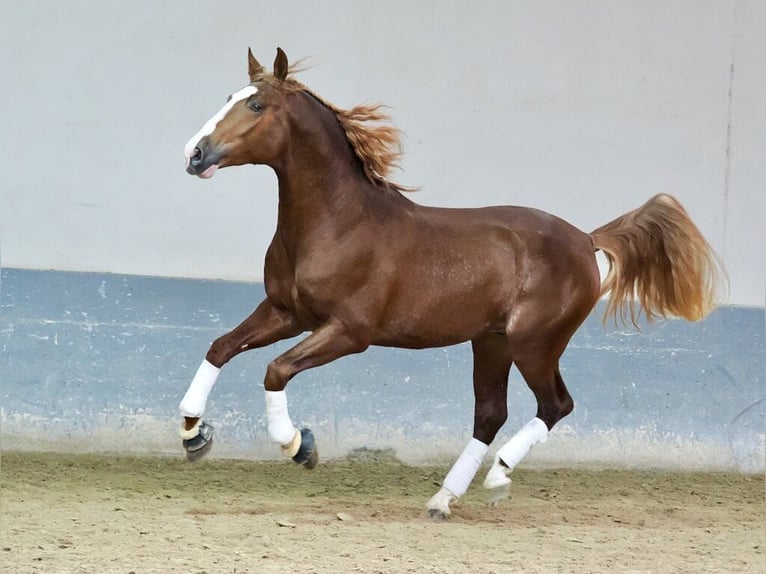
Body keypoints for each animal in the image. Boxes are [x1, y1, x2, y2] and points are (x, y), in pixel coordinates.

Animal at [178, 47, 728, 520]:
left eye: (256, 104)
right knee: (491, 414)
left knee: (555, 405)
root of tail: (585, 239)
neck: (337, 223)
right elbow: (220, 347)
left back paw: (499, 476)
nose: (195, 154)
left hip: (535, 343)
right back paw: (444, 499)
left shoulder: (348, 332)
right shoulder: (286, 312)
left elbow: (275, 371)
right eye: (229, 97)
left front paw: (299, 446)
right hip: (492, 342)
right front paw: (193, 434)